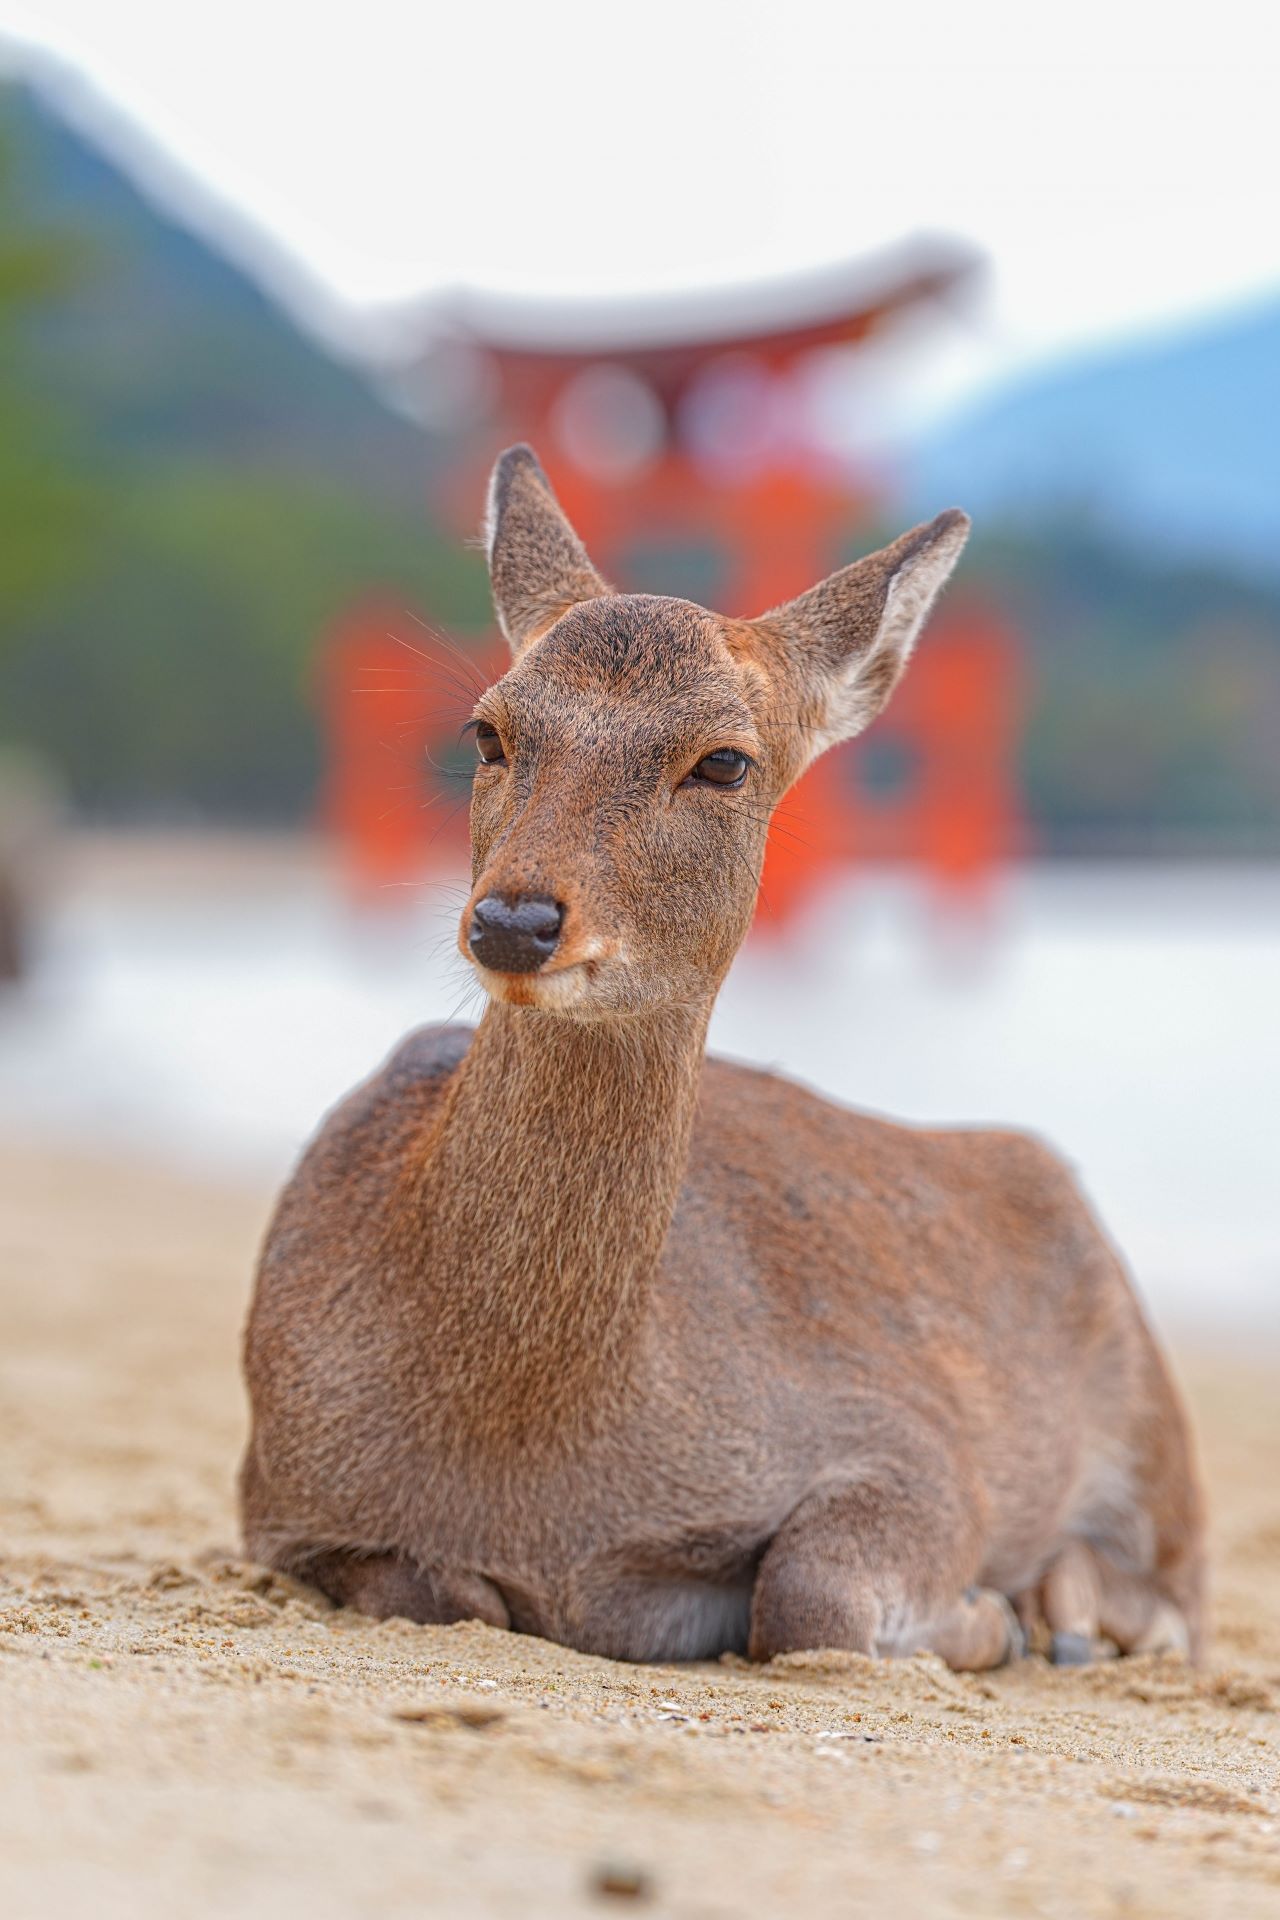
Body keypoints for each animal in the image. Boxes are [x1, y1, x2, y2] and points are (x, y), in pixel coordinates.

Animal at [242, 445, 1212, 1666]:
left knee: (1185, 1591)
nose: (513, 919)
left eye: (724, 762)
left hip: (1155, 1425)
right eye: (487, 732)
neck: (528, 1465)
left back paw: (1069, 1613)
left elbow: (809, 1592)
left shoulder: (914, 1443)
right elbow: (438, 1589)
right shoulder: (274, 1499)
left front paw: (988, 1616)